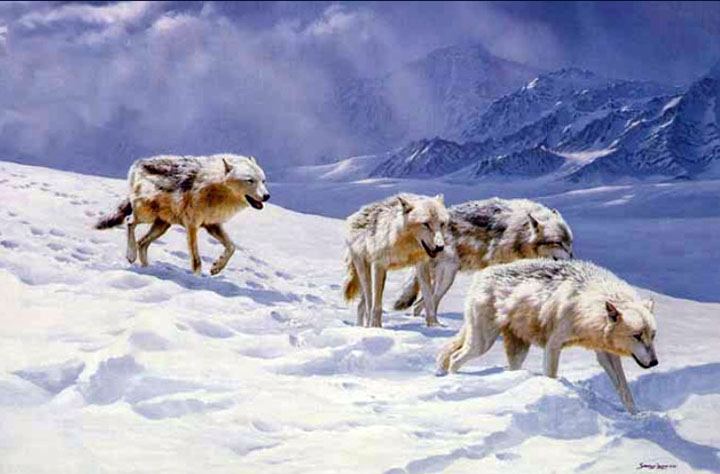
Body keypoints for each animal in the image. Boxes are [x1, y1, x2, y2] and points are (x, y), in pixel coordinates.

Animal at [95, 153, 270, 275]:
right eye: (250, 180)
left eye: (263, 181)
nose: (267, 196)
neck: (216, 189)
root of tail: (138, 164)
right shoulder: (192, 226)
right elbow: (196, 261)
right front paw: (198, 278)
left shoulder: (212, 225)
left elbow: (231, 247)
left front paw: (216, 267)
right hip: (147, 215)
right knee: (129, 221)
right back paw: (130, 255)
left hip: (162, 225)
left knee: (142, 243)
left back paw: (147, 269)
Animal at [343, 193, 450, 328]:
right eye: (425, 224)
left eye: (442, 224)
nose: (440, 247)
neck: (405, 245)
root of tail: (355, 215)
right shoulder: (379, 266)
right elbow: (376, 305)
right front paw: (376, 327)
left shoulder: (421, 265)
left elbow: (429, 299)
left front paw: (434, 325)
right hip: (364, 272)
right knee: (369, 302)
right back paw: (367, 327)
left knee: (361, 305)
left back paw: (363, 327)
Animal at [393, 198, 574, 320]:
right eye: (558, 243)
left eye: (570, 243)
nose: (573, 261)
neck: (520, 236)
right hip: (447, 277)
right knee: (424, 304)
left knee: (418, 306)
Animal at [437, 259, 658, 413]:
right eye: (637, 336)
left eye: (652, 335)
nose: (655, 362)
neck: (586, 304)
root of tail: (481, 275)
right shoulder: (553, 345)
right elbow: (551, 375)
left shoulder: (605, 353)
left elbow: (625, 390)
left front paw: (635, 416)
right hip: (483, 343)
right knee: (455, 358)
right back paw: (455, 380)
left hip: (517, 350)